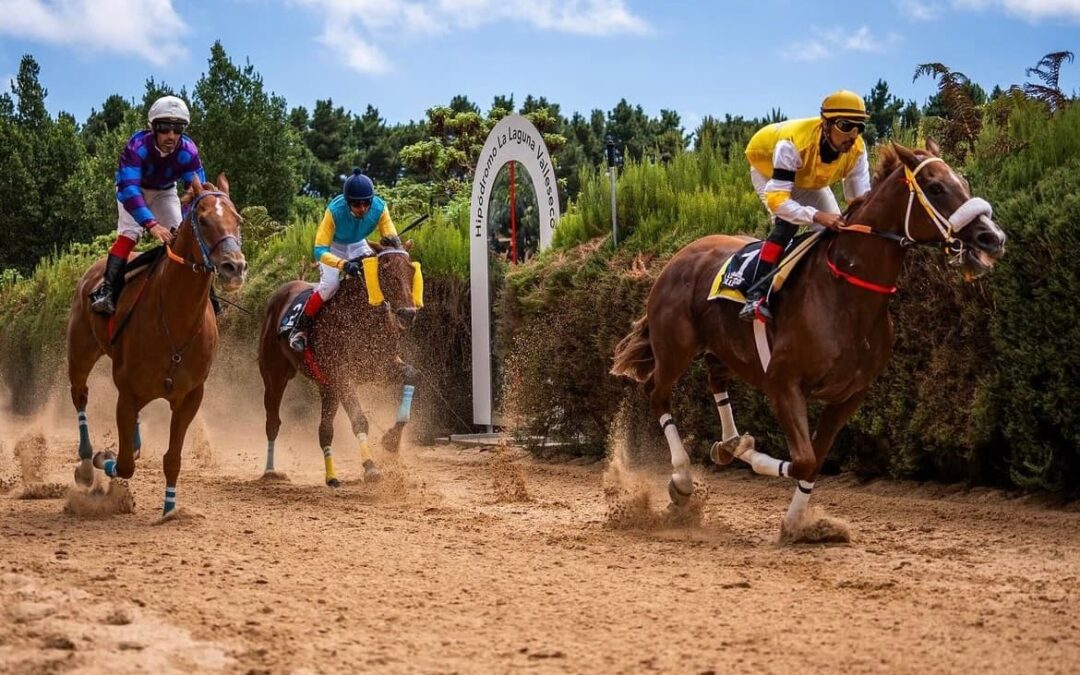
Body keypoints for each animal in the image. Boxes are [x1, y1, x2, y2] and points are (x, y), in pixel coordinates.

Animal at [65, 174, 247, 516]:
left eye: (238, 220)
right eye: (204, 220)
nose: (235, 267)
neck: (175, 319)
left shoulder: (190, 396)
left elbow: (172, 458)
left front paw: (170, 511)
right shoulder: (126, 392)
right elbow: (123, 464)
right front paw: (103, 457)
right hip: (81, 351)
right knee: (80, 395)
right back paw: (85, 462)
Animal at [257, 241, 421, 483]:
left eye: (410, 270)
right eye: (385, 271)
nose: (408, 313)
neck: (361, 316)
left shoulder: (381, 367)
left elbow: (412, 374)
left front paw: (391, 440)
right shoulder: (342, 375)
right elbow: (359, 419)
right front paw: (371, 467)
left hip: (327, 387)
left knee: (324, 430)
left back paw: (331, 476)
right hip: (275, 376)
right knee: (273, 422)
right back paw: (270, 471)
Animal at [613, 142, 1006, 537]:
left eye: (964, 182)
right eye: (935, 187)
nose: (993, 237)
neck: (846, 294)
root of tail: (677, 258)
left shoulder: (849, 395)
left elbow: (814, 460)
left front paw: (795, 523)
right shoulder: (784, 383)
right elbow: (802, 459)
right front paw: (753, 463)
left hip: (728, 350)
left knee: (715, 380)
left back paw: (730, 444)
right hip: (675, 349)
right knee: (657, 395)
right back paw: (682, 480)